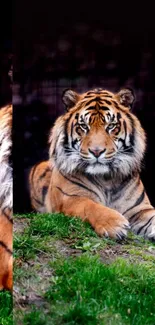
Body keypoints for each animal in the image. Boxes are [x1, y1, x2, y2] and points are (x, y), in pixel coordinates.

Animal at [28, 87, 155, 239]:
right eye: (83, 126)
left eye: (111, 126)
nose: (96, 151)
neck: (106, 179)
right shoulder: (70, 199)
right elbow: (91, 206)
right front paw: (115, 224)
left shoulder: (140, 209)